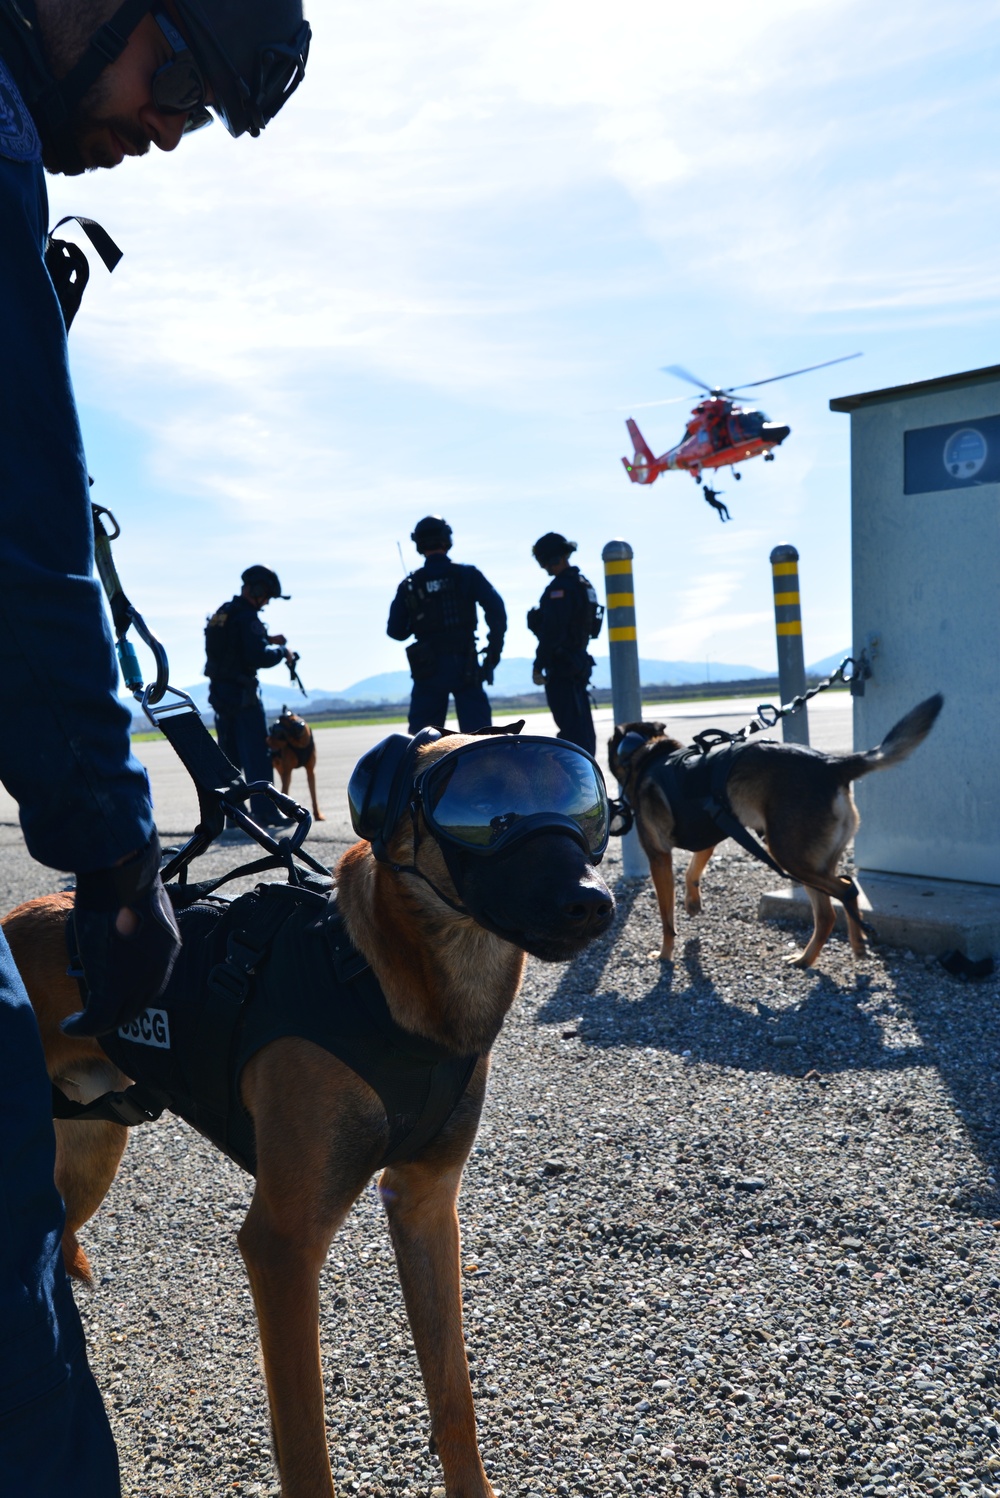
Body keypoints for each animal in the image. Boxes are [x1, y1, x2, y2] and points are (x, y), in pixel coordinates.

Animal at [604, 692, 940, 964]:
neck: (647, 755)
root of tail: (832, 764)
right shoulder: (713, 830)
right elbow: (693, 870)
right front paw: (692, 902)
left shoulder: (659, 857)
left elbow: (666, 918)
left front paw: (665, 954)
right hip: (813, 860)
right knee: (834, 904)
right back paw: (830, 953)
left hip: (789, 856)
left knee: (844, 892)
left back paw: (816, 954)